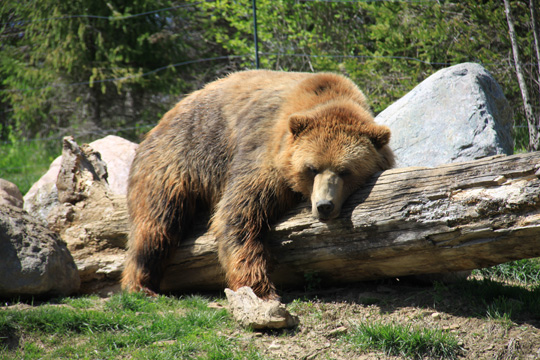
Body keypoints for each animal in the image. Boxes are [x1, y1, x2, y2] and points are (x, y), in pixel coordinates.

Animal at [121, 69, 392, 300]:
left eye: (346, 171)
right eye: (311, 168)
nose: (324, 205)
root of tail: (158, 125)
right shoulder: (263, 153)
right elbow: (239, 214)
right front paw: (260, 288)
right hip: (174, 162)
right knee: (157, 223)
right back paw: (141, 284)